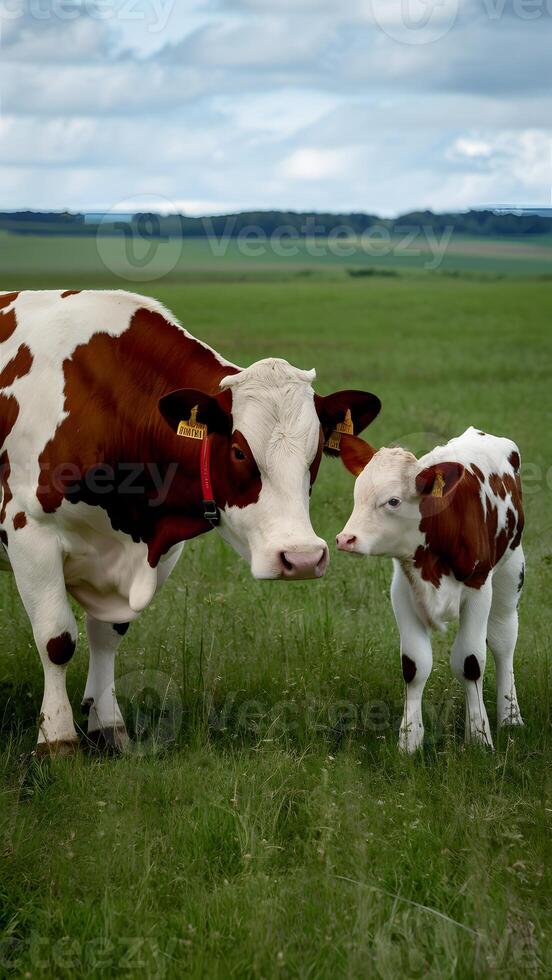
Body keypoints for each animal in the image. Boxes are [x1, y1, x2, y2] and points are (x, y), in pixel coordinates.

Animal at [0, 288, 380, 756]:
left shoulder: (153, 552)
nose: (303, 558)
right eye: (238, 451)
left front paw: (108, 726)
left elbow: (108, 634)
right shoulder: (29, 532)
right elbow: (56, 639)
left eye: (316, 454)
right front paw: (57, 739)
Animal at [336, 424, 528, 756]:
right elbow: (414, 665)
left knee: (503, 640)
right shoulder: (402, 589)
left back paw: (510, 717)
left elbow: (471, 662)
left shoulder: (479, 587)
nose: (346, 538)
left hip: (511, 567)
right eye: (358, 492)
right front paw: (409, 742)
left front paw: (480, 739)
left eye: (393, 501)